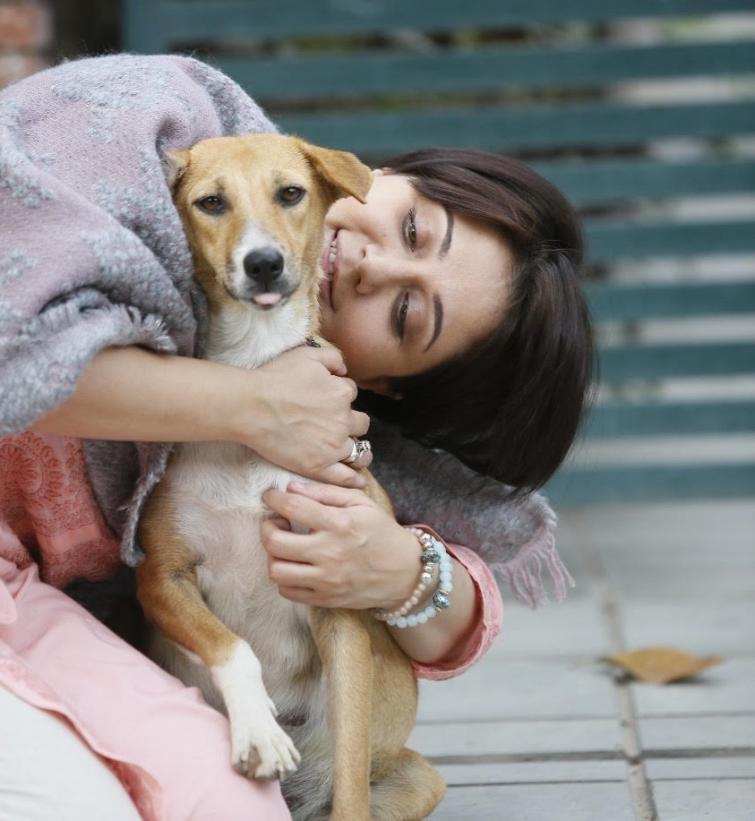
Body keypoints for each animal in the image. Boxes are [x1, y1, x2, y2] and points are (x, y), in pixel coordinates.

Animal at [136, 134, 446, 820]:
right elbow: (232, 645)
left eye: (291, 193)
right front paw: (259, 730)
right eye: (211, 202)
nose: (264, 264)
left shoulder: (338, 604)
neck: (257, 369)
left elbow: (350, 767)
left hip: (419, 778)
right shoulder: (161, 577)